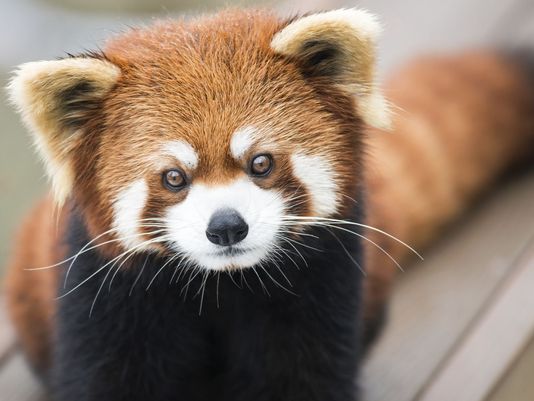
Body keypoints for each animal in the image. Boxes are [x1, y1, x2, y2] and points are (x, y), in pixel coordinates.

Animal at [4, 7, 534, 400]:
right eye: (174, 178)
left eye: (260, 163)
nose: (226, 227)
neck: (221, 286)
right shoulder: (109, 297)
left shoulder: (321, 285)